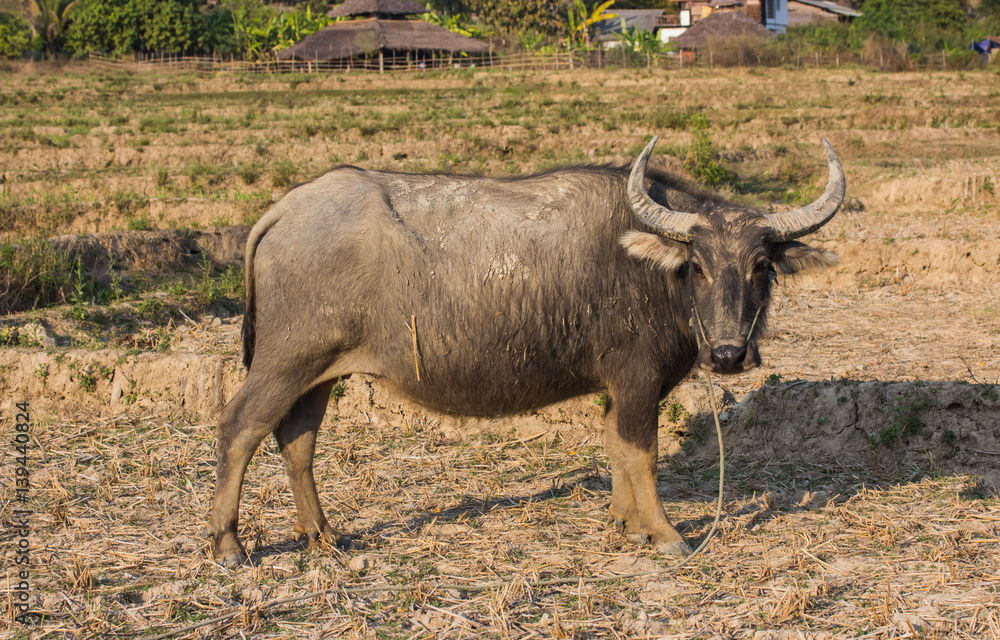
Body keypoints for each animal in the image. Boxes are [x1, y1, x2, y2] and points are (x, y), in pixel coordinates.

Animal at [203, 136, 844, 564]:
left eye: (761, 266)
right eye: (699, 266)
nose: (730, 356)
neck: (647, 270)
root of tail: (286, 207)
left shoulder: (615, 387)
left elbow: (614, 448)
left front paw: (626, 523)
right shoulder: (637, 379)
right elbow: (643, 454)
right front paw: (666, 534)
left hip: (319, 372)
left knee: (297, 440)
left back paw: (324, 535)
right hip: (287, 361)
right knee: (240, 427)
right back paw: (228, 544)